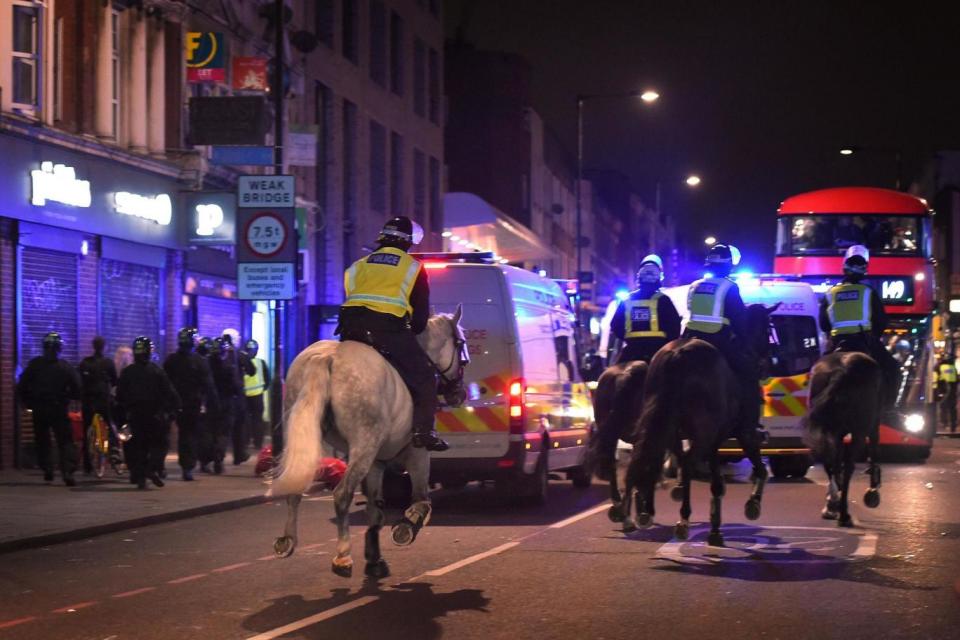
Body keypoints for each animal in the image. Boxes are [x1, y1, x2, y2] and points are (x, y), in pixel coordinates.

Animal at [268, 308, 466, 576]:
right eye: (461, 345)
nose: (459, 394)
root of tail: (328, 357)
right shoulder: (416, 453)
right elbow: (421, 498)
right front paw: (407, 525)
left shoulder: (376, 462)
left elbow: (375, 510)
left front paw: (375, 558)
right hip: (364, 445)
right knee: (342, 494)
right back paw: (342, 556)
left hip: (309, 438)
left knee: (296, 487)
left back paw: (288, 540)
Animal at [620, 304, 776, 544]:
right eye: (769, 328)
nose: (767, 365)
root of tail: (678, 354)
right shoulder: (745, 432)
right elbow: (759, 471)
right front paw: (752, 504)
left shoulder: (712, 442)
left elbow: (716, 484)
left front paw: (714, 528)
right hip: (704, 433)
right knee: (686, 463)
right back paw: (682, 519)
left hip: (667, 427)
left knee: (653, 458)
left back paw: (643, 512)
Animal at [808, 350, 880, 524]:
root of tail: (843, 371)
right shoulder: (872, 425)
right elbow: (873, 451)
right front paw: (872, 491)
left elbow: (835, 464)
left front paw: (831, 502)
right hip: (859, 430)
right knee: (848, 466)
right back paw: (843, 514)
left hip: (829, 429)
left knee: (829, 462)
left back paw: (834, 505)